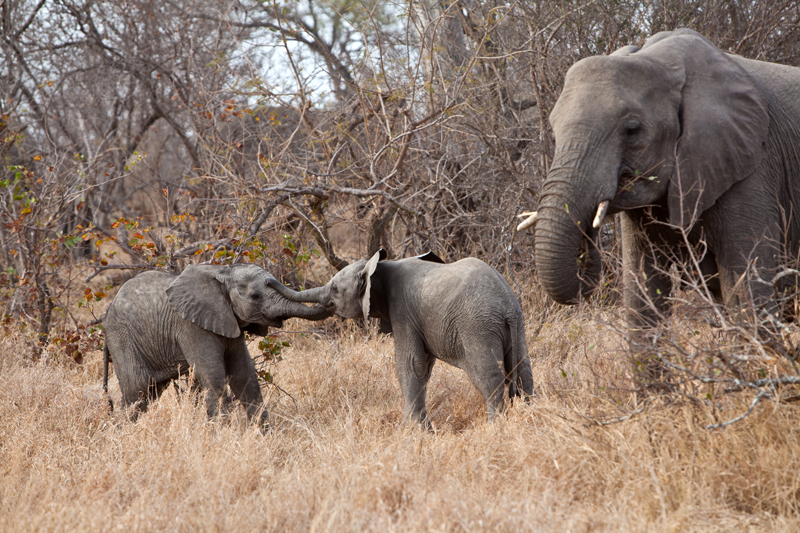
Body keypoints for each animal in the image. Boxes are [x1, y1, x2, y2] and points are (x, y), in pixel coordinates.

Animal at [102, 263, 330, 426]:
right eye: (255, 296)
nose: (271, 279)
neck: (222, 274)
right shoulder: (191, 326)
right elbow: (214, 378)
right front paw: (223, 439)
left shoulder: (229, 321)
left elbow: (244, 376)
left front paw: (265, 438)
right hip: (122, 338)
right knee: (136, 392)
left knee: (149, 394)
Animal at [265, 250, 534, 427]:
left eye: (335, 290)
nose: (267, 280)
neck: (382, 265)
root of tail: (506, 306)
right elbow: (423, 367)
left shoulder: (403, 312)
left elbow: (411, 365)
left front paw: (412, 431)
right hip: (516, 325)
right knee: (524, 373)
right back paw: (532, 416)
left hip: (478, 326)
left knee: (489, 378)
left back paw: (495, 427)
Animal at [526, 28, 800, 329]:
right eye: (553, 134)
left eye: (632, 130)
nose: (591, 230)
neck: (660, 60)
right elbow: (642, 298)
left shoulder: (751, 170)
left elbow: (748, 298)